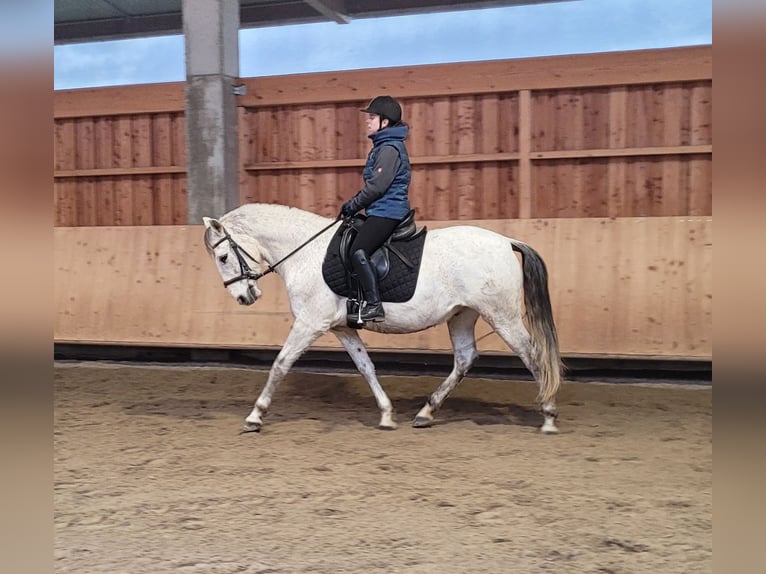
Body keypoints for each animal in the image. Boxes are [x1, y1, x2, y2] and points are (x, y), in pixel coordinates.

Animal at [203, 203, 563, 434]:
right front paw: (387, 415)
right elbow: (366, 366)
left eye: (223, 257)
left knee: (533, 356)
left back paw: (548, 416)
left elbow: (280, 364)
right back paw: (425, 413)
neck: (306, 253)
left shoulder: (310, 323)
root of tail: (506, 241)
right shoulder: (341, 328)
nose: (244, 297)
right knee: (464, 358)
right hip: (462, 315)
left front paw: (255, 416)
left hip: (502, 316)